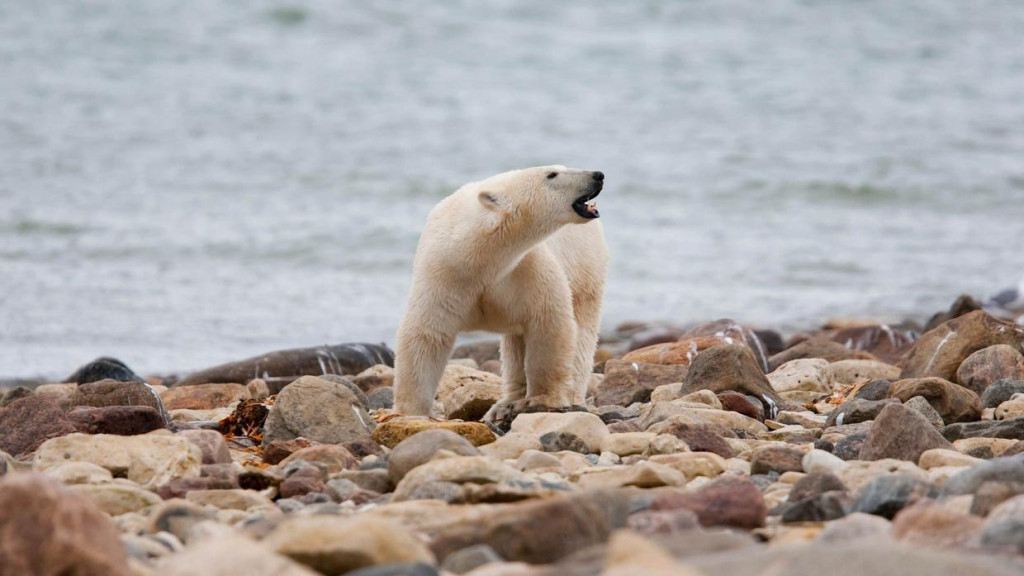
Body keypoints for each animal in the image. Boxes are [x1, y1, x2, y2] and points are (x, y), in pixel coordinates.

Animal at [393, 163, 606, 420]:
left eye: (561, 167)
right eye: (552, 174)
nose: (597, 175)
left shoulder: (526, 269)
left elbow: (549, 323)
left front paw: (543, 399)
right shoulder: (444, 276)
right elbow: (427, 334)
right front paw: (411, 411)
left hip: (585, 268)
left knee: (582, 332)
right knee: (515, 344)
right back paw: (506, 403)